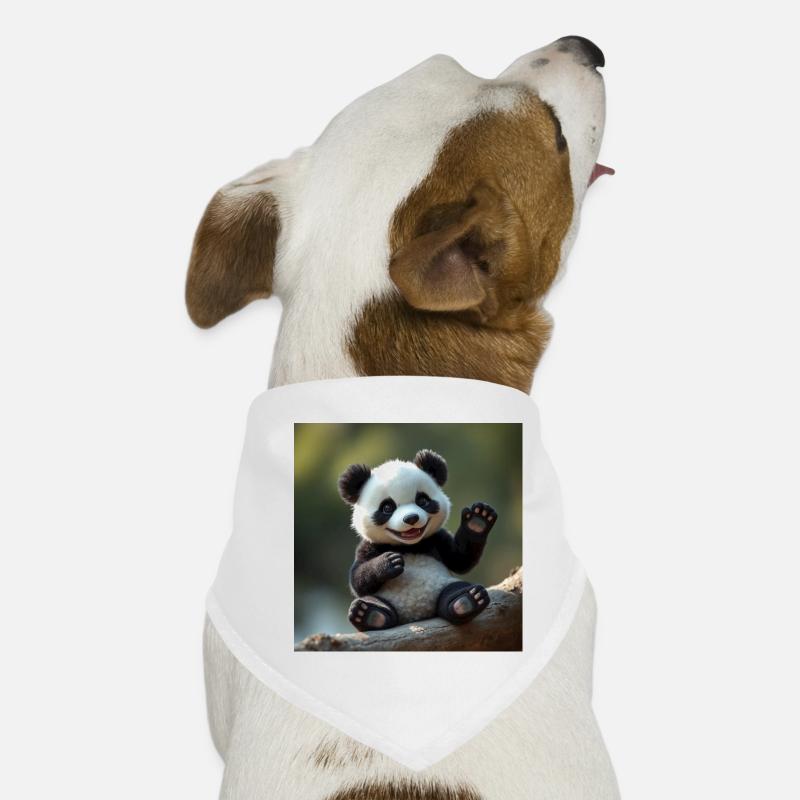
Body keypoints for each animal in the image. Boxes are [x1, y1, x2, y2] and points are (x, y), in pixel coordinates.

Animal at [338, 448, 498, 632]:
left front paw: (478, 520)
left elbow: (461, 559)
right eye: (387, 507)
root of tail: (416, 614)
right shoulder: (370, 546)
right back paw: (369, 614)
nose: (411, 518)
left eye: (422, 500)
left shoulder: (436, 539)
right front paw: (389, 562)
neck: (408, 546)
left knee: (453, 590)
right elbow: (357, 580)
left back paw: (467, 601)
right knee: (370, 601)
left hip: (442, 585)